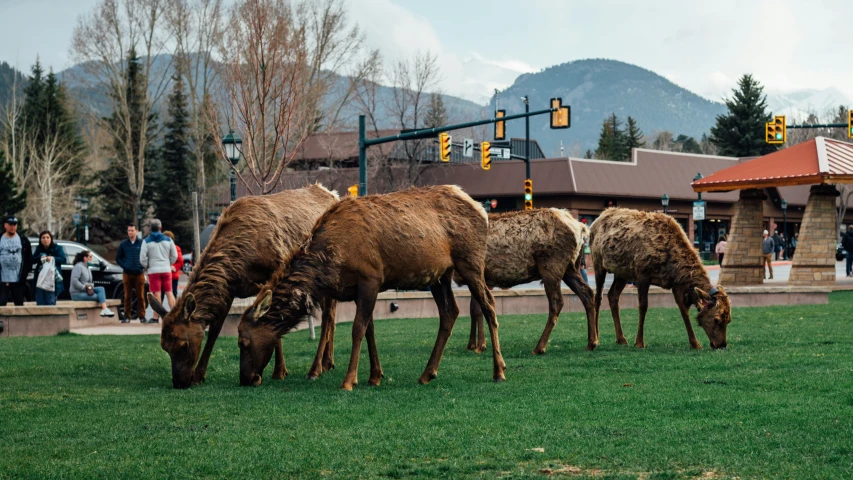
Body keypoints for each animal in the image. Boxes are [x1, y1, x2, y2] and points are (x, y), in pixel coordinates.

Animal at [150, 185, 340, 390]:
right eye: (164, 347)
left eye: (183, 345)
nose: (179, 382)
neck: (240, 260)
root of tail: (333, 194)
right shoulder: (229, 289)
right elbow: (215, 330)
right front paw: (200, 375)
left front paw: (279, 371)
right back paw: (328, 362)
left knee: (328, 317)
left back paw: (321, 365)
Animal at [238, 186, 506, 392]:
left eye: (243, 342)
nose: (246, 379)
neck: (330, 262)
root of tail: (482, 210)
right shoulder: (360, 289)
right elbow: (370, 330)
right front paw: (375, 376)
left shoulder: (371, 278)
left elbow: (358, 329)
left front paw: (349, 380)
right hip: (440, 275)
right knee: (450, 312)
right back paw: (427, 373)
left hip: (470, 262)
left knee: (489, 305)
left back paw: (499, 370)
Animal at [456, 208, 596, 354]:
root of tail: (580, 228)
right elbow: (473, 309)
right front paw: (472, 344)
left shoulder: (478, 274)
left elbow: (478, 309)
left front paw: (480, 345)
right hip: (571, 268)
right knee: (587, 293)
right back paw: (592, 342)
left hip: (551, 266)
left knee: (557, 302)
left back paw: (539, 347)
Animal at [588, 208, 728, 350]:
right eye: (716, 319)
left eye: (728, 320)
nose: (722, 344)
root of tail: (597, 219)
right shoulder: (642, 274)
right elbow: (643, 306)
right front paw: (639, 342)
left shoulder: (676, 284)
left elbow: (684, 310)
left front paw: (695, 344)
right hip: (598, 263)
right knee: (598, 297)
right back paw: (597, 337)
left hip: (622, 272)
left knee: (613, 296)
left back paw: (621, 338)